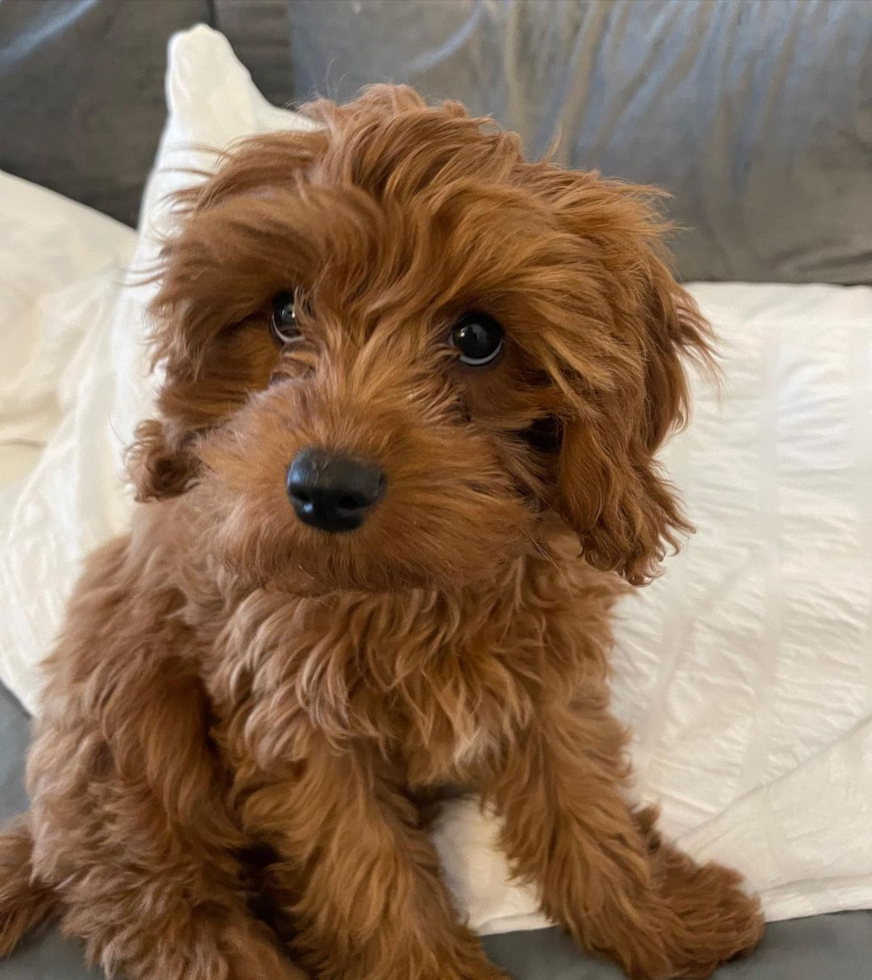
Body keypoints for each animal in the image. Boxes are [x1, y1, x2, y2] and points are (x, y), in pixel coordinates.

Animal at [0, 86, 764, 980]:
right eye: (286, 313)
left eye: (478, 337)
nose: (326, 488)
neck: (410, 589)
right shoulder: (295, 715)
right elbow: (366, 874)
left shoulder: (549, 681)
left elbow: (582, 800)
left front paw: (657, 915)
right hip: (131, 732)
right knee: (175, 915)